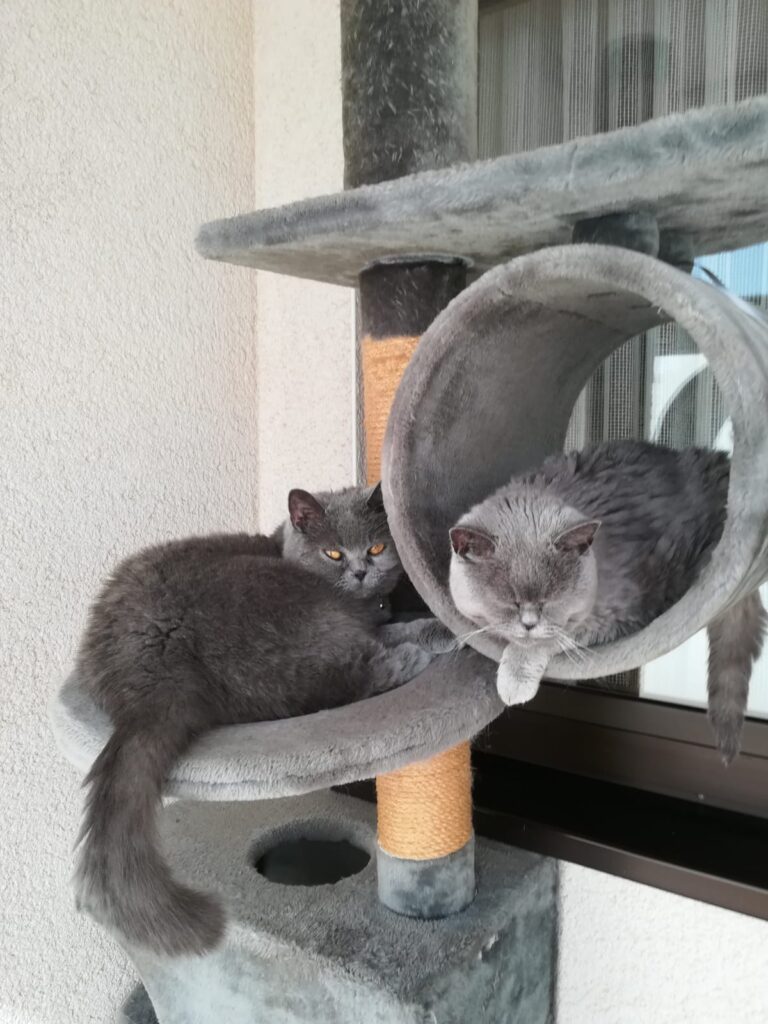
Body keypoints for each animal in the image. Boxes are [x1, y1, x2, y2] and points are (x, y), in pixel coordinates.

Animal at [75, 482, 450, 956]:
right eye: (333, 553)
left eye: (377, 547)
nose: (362, 571)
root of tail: (149, 676)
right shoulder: (353, 619)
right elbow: (393, 631)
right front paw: (440, 629)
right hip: (299, 617)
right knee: (352, 674)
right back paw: (419, 652)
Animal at [448, 440, 766, 764]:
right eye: (509, 600)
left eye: (551, 600)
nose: (529, 623)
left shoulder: (614, 614)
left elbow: (547, 639)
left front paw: (513, 679)